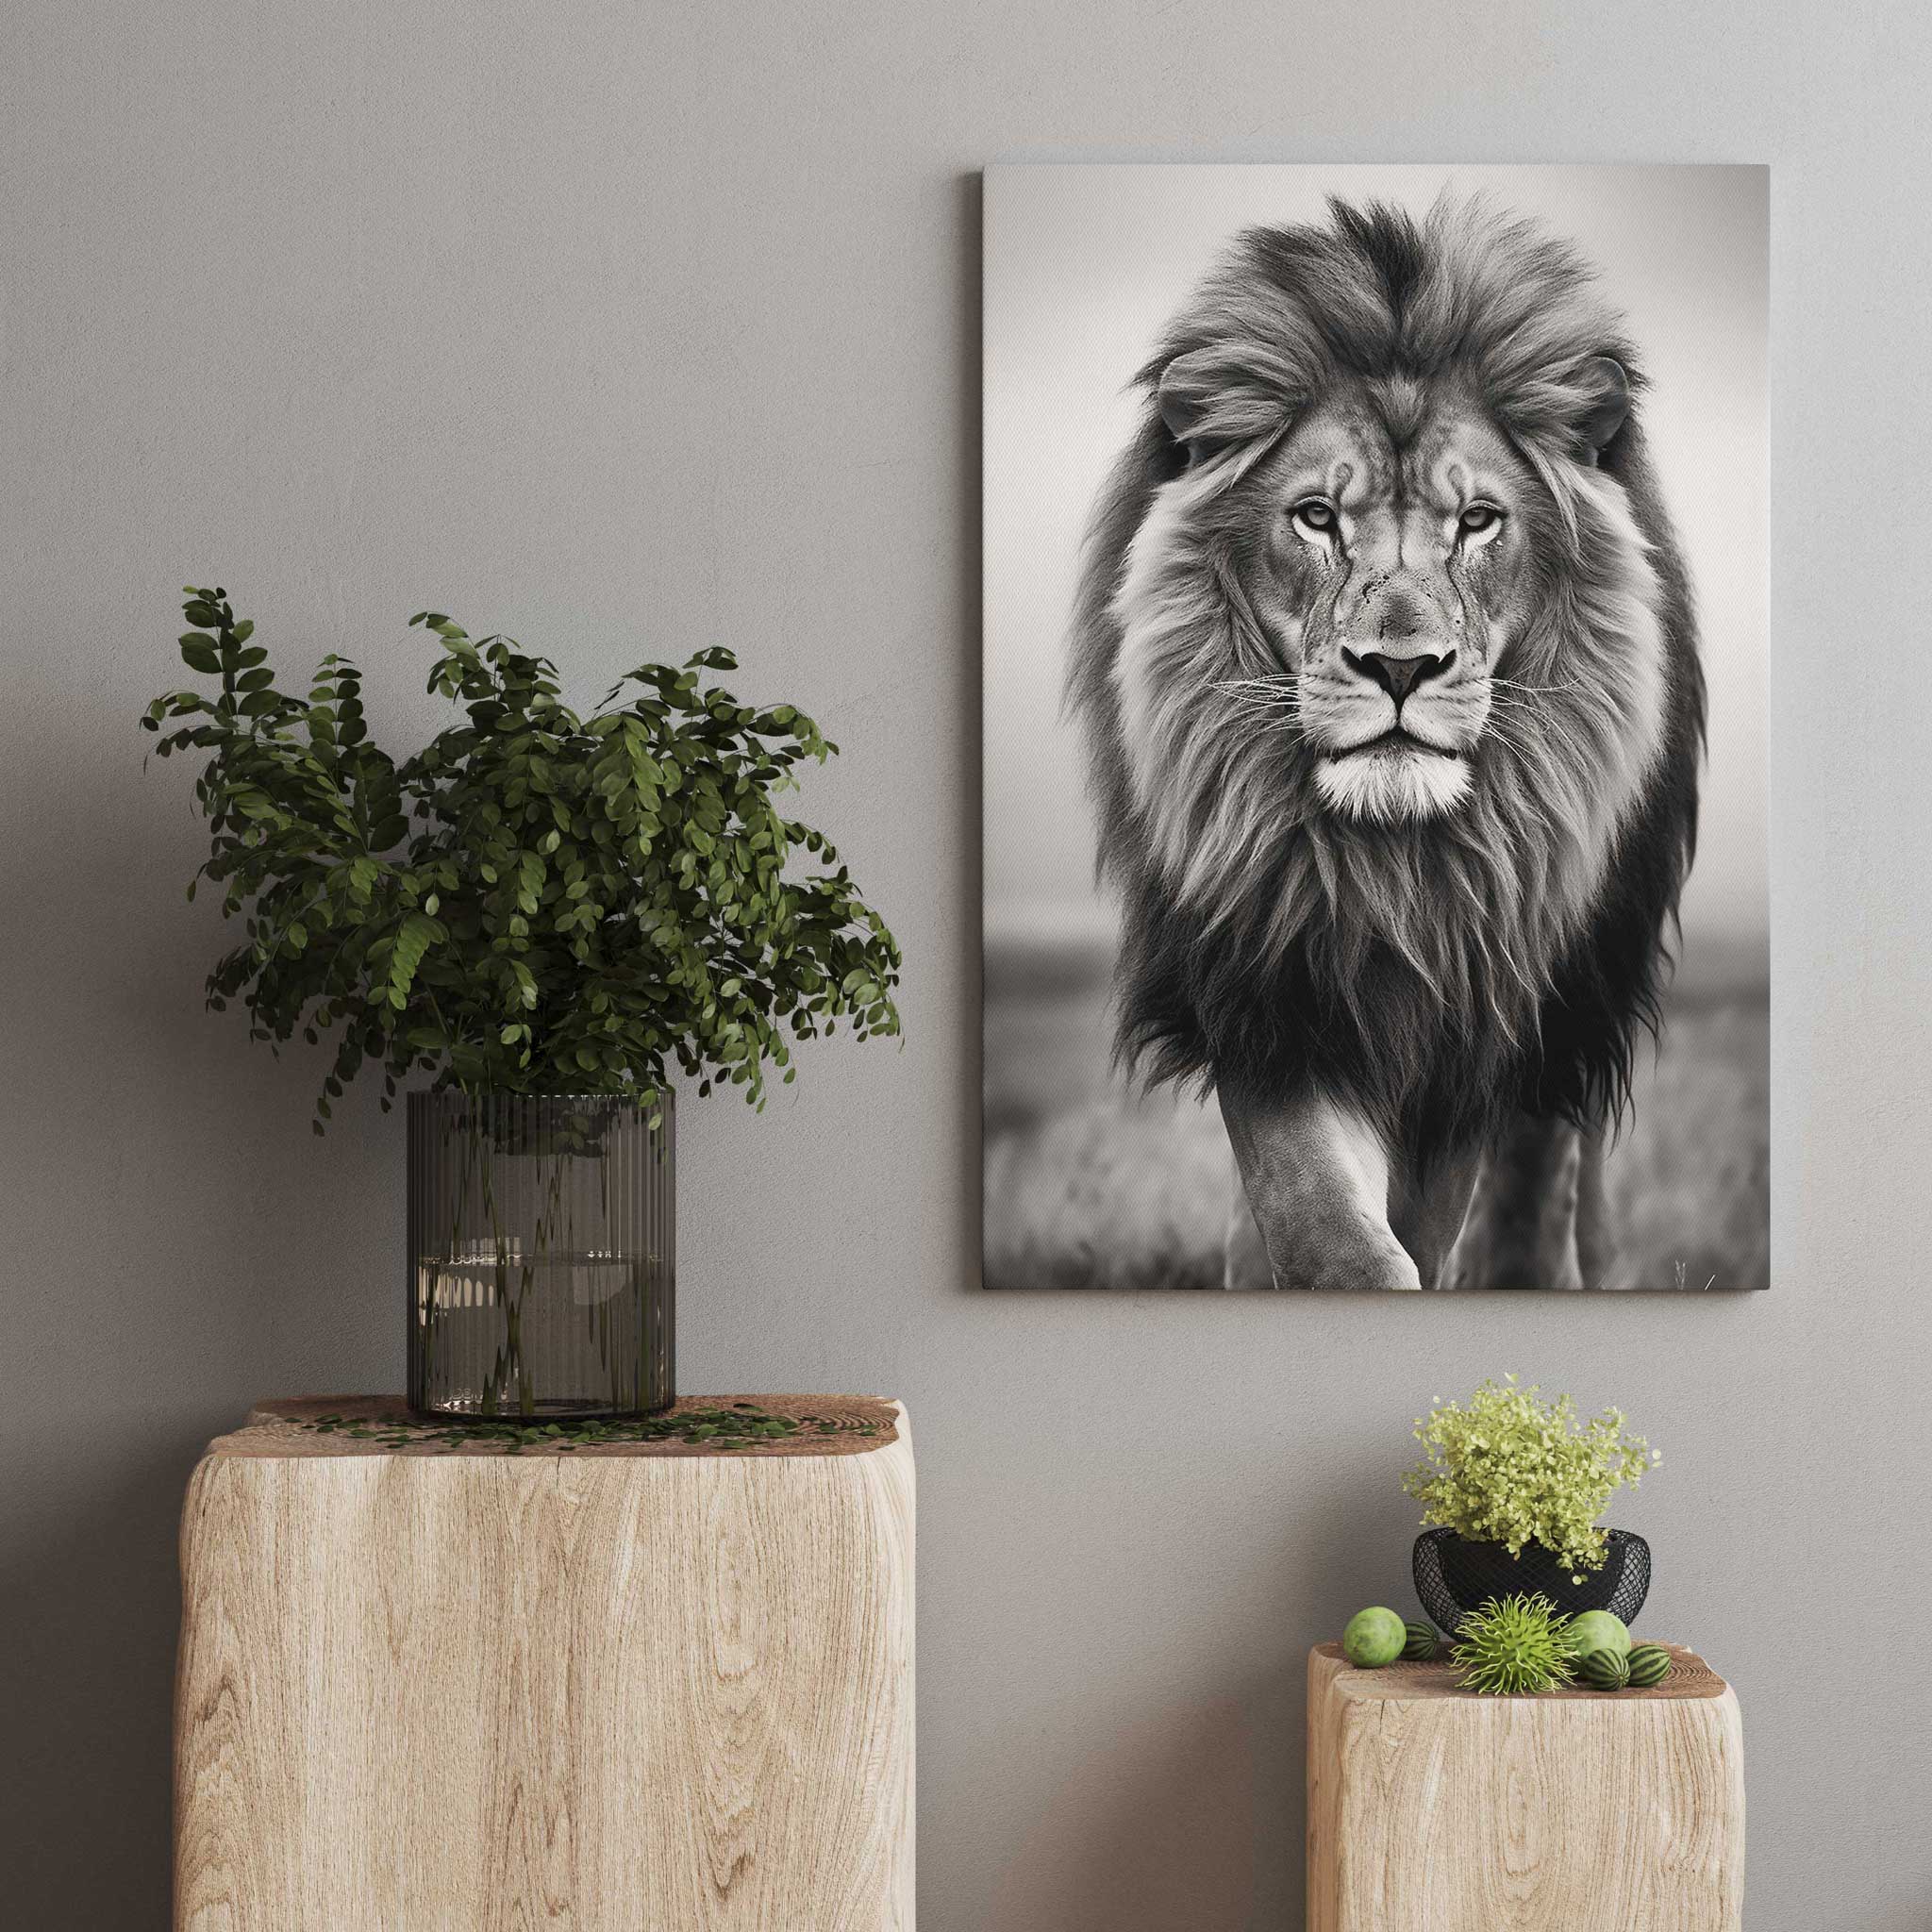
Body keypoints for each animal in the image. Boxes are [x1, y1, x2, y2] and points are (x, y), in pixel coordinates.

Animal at [1067, 197, 1704, 1290]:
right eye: (1317, 517)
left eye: (1478, 520)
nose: (1399, 667)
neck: (1397, 873)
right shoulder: (1269, 984)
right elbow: (1314, 1212)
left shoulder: (1485, 1025)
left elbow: (1447, 1202)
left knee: (1547, 1160)